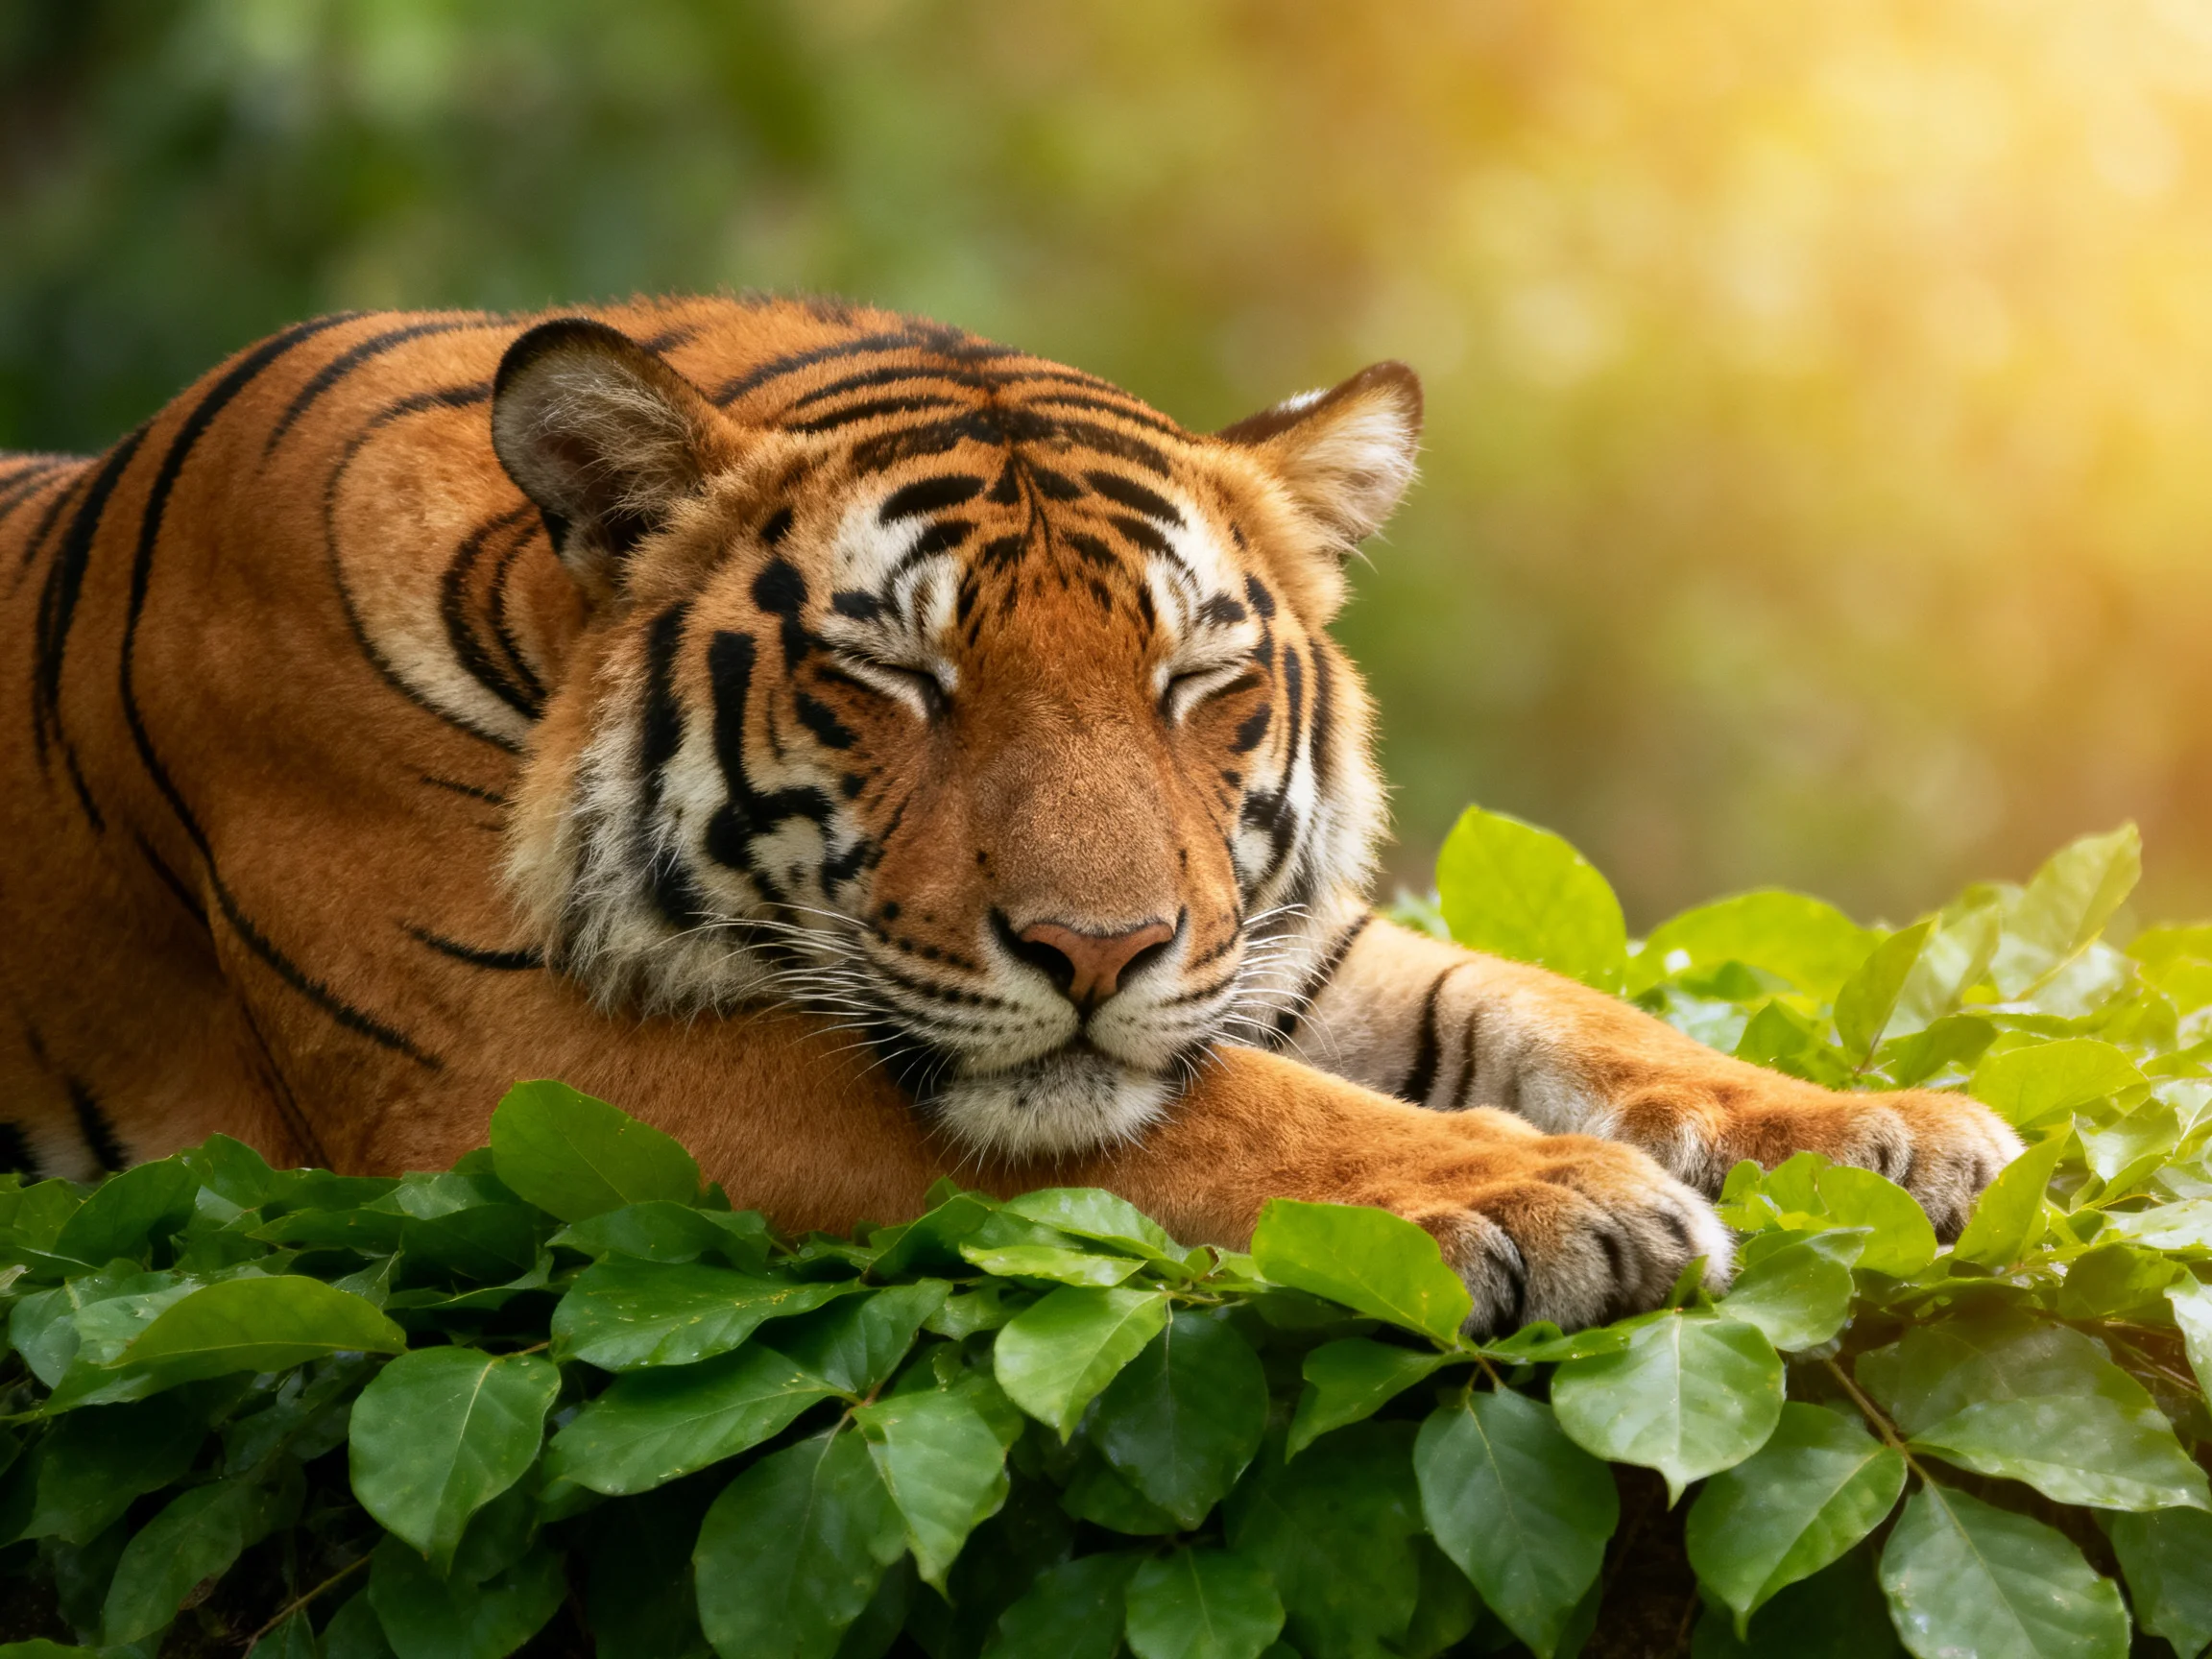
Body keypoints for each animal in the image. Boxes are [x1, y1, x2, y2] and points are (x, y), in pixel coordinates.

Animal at [0, 296, 2021, 1333]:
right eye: (896, 679)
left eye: (1194, 686)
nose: (1095, 952)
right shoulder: (517, 1058)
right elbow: (1220, 1110)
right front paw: (1550, 1196)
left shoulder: (1261, 936)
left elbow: (1540, 1003)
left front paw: (1874, 1126)